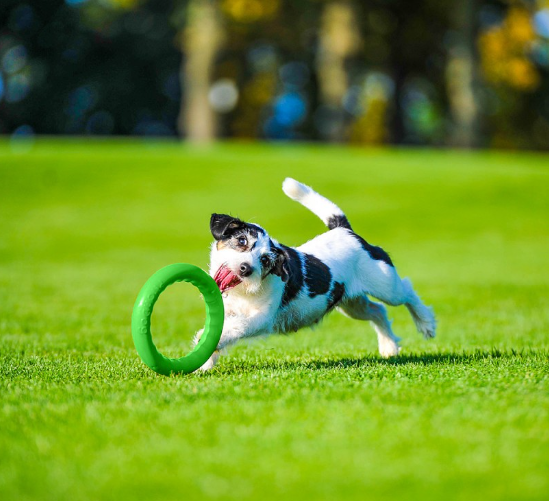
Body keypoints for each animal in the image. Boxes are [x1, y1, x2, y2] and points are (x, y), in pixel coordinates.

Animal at [195, 178, 434, 370]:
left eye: (265, 260)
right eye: (242, 241)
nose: (246, 268)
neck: (242, 292)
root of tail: (345, 231)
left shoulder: (261, 318)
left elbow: (236, 327)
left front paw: (207, 344)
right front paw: (205, 363)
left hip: (386, 285)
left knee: (406, 292)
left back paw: (426, 324)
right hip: (351, 303)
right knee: (378, 311)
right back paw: (389, 346)